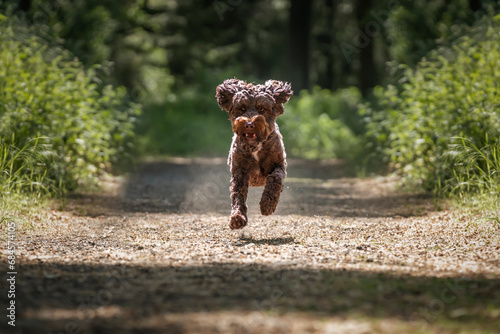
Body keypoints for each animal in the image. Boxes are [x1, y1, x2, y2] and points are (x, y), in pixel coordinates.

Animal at [216, 78, 292, 230]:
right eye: (242, 109)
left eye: (262, 109)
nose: (249, 124)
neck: (255, 146)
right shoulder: (239, 172)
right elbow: (237, 195)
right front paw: (237, 218)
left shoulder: (279, 165)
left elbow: (275, 179)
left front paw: (267, 205)